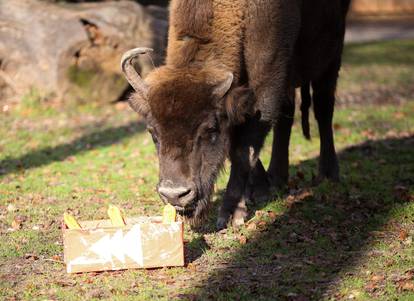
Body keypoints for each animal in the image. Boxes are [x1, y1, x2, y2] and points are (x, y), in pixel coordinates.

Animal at [121, 0, 350, 227]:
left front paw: (232, 213)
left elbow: (243, 149)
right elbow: (236, 147)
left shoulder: (266, 85)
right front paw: (259, 191)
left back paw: (328, 174)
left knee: (323, 108)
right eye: (152, 132)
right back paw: (277, 179)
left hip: (332, 57)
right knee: (287, 118)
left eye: (210, 129)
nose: (175, 195)